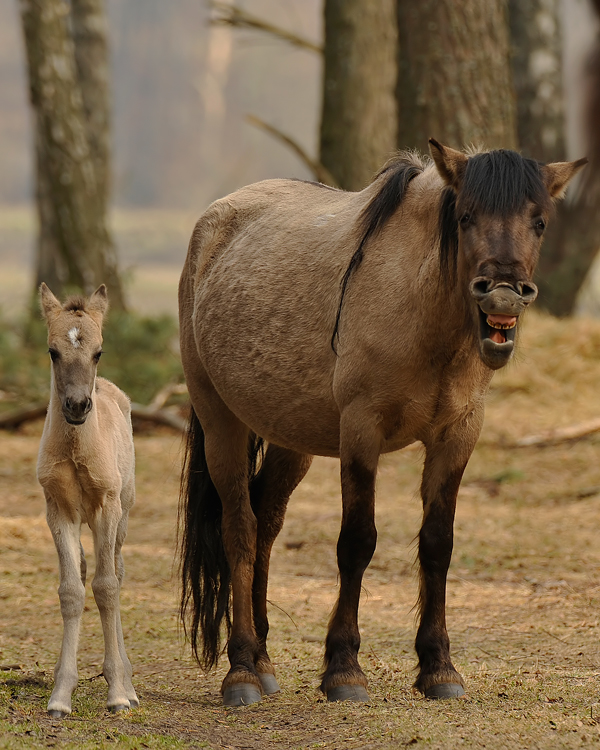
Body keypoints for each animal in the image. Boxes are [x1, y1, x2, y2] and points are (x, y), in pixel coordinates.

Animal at [177, 140, 584, 704]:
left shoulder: (457, 435)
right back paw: (240, 670)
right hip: (220, 420)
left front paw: (438, 667)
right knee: (240, 527)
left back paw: (262, 659)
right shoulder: (361, 431)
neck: (422, 310)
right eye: (465, 216)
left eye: (539, 221)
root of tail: (213, 222)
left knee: (266, 523)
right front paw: (344, 668)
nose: (502, 293)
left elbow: (437, 544)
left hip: (290, 439)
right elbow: (356, 542)